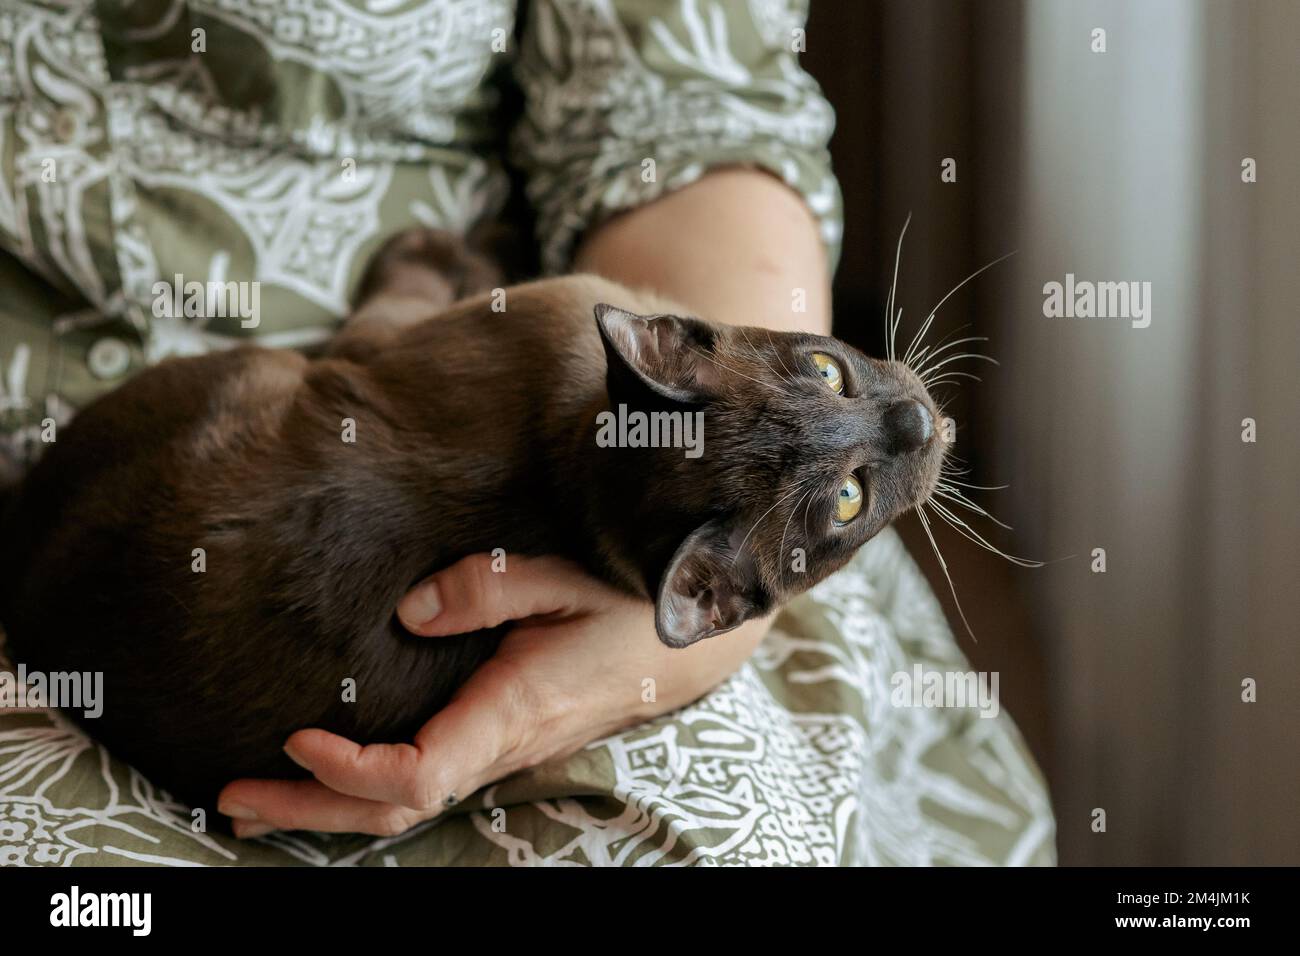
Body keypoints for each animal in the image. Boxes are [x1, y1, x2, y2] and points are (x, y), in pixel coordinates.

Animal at [0, 227, 941, 811]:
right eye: (826, 370)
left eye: (849, 498)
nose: (918, 425)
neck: (569, 459)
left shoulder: (374, 343)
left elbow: (408, 276)